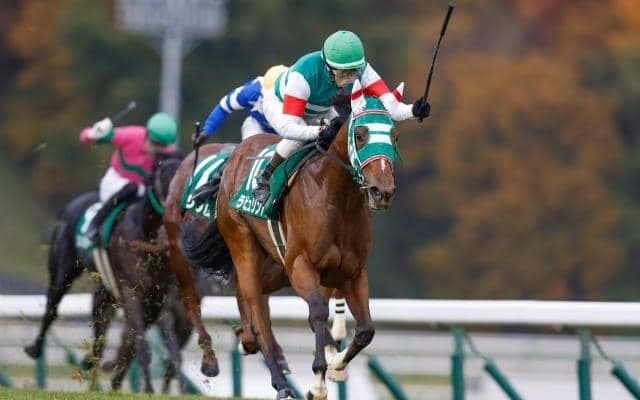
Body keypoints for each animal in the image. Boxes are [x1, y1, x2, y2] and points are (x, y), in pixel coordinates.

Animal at [24, 152, 188, 393]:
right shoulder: (131, 292)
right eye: (167, 176)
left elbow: (143, 347)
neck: (147, 235)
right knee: (52, 309)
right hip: (63, 271)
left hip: (104, 294)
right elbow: (141, 345)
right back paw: (35, 348)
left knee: (100, 338)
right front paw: (148, 390)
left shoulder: (158, 300)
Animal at [214, 80, 401, 400]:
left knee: (251, 298)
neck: (337, 199)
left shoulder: (352, 273)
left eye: (394, 136)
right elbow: (318, 313)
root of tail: (238, 153)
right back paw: (280, 382)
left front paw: (336, 366)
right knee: (257, 309)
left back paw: (248, 338)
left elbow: (365, 330)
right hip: (243, 243)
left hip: (276, 267)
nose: (382, 191)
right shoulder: (302, 265)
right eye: (360, 135)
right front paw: (319, 378)